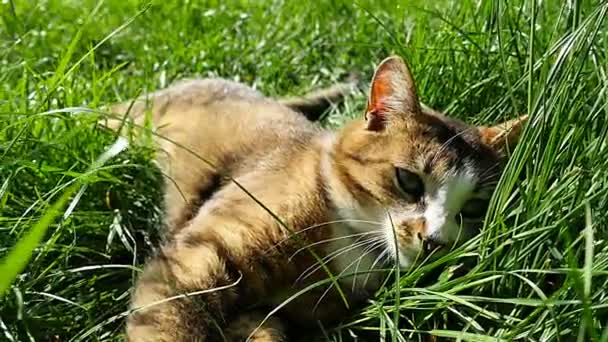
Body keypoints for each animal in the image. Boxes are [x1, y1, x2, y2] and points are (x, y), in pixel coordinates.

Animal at [104, 54, 528, 340]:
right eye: (408, 181)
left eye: (473, 206)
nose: (435, 240)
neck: (351, 242)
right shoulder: (193, 260)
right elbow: (167, 324)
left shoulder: (268, 313)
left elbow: (266, 329)